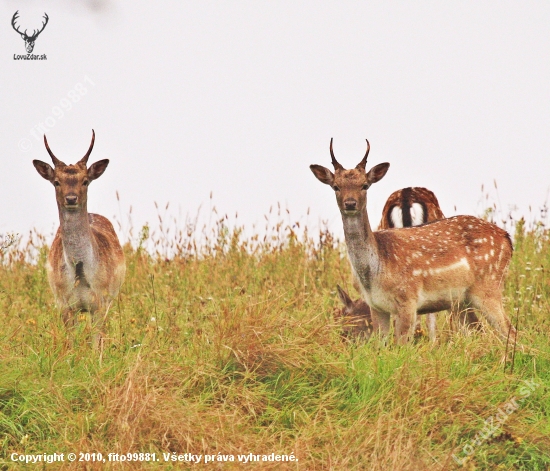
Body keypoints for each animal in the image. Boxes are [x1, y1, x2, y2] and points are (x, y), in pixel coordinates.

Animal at [33, 129, 126, 346]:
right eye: (56, 182)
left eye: (85, 181)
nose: (71, 198)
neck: (81, 275)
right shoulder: (63, 303)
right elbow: (71, 342)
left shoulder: (101, 302)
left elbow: (97, 343)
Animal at [312, 138, 520, 344]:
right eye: (336, 186)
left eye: (365, 185)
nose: (350, 203)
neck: (375, 272)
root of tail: (507, 238)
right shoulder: (377, 307)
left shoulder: (408, 300)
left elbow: (402, 345)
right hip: (464, 298)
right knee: (481, 329)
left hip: (489, 285)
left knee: (510, 331)